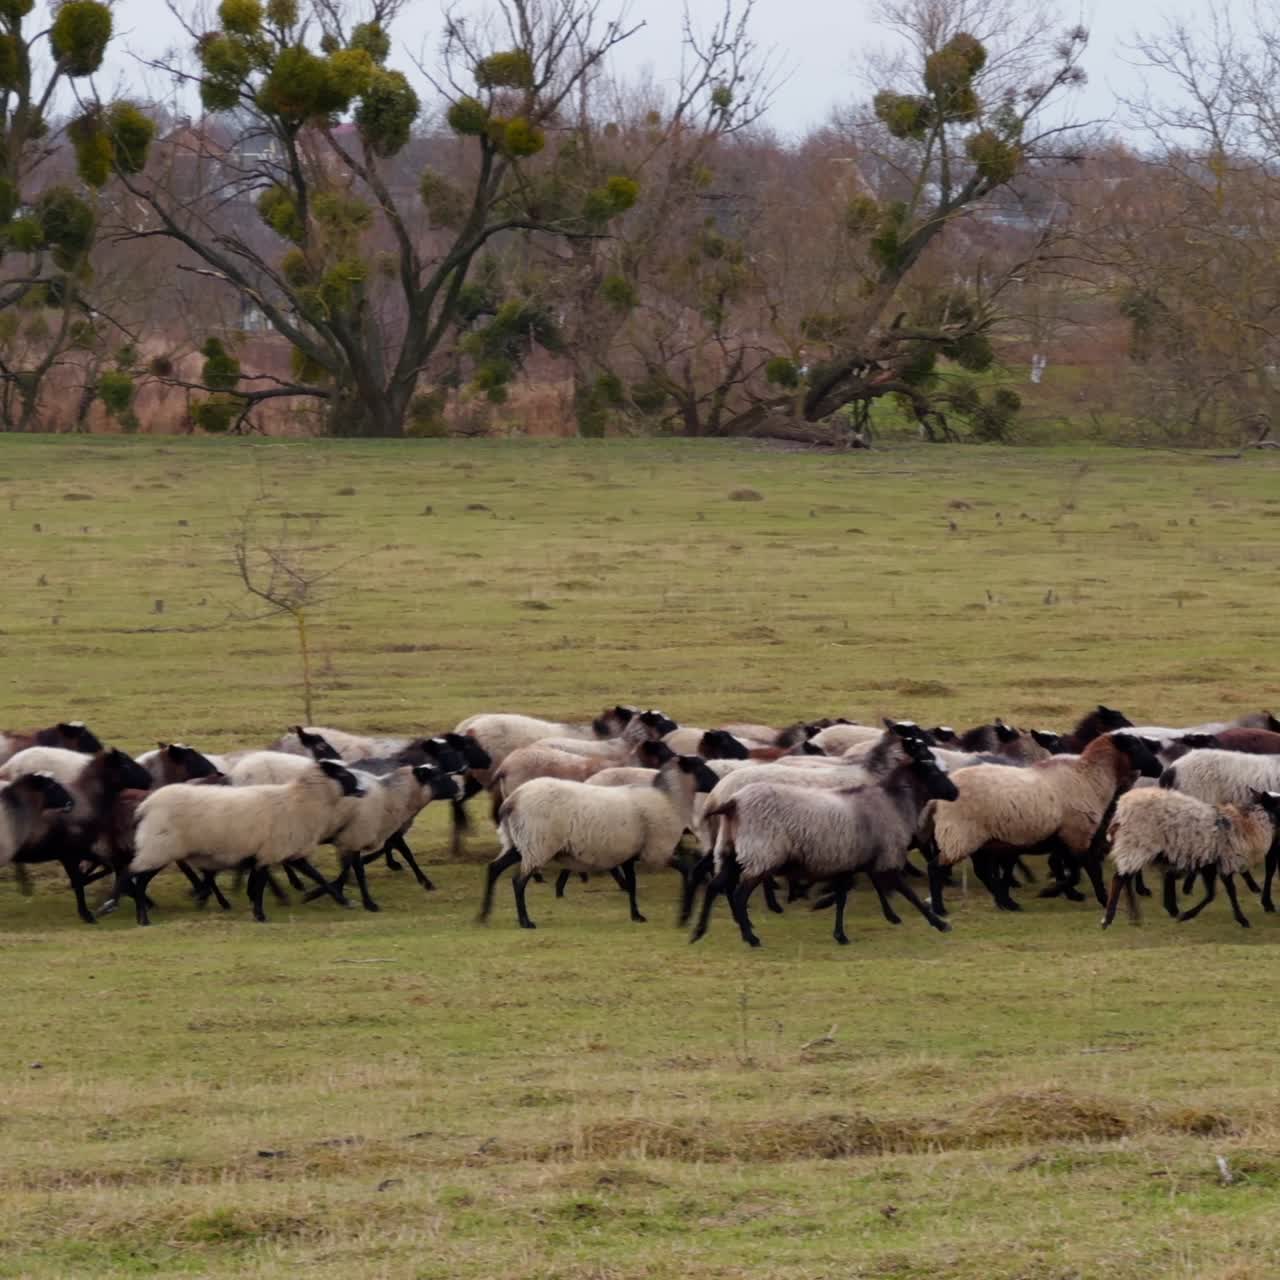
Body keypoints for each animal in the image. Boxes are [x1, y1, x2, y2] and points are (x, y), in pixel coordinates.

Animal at [123, 760, 366, 924]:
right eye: (342, 773)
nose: (363, 790)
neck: (302, 802)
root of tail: (145, 806)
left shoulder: (285, 852)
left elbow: (318, 877)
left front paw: (344, 901)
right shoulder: (270, 851)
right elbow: (260, 885)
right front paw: (260, 915)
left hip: (158, 848)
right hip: (159, 847)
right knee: (138, 880)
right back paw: (143, 918)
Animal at [478, 755, 721, 930]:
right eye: (702, 767)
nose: (718, 783)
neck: (670, 799)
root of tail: (512, 800)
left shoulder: (630, 853)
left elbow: (632, 884)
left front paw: (636, 915)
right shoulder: (656, 851)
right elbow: (687, 869)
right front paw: (684, 914)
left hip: (522, 843)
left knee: (493, 868)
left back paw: (483, 915)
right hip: (538, 844)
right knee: (518, 882)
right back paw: (525, 922)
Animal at [690, 737, 957, 947]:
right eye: (930, 765)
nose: (955, 792)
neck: (890, 798)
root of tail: (728, 799)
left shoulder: (855, 857)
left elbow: (846, 894)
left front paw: (844, 929)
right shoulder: (883, 855)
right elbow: (904, 891)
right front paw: (938, 922)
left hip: (734, 851)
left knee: (716, 885)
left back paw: (700, 930)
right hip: (762, 852)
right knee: (737, 894)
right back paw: (751, 935)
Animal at [923, 732, 1163, 916]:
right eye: (1136, 745)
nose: (1159, 767)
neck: (1090, 778)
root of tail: (938, 798)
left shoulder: (1064, 838)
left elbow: (1070, 870)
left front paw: (1063, 892)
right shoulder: (1077, 834)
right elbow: (1088, 870)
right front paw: (1100, 899)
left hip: (977, 839)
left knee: (981, 872)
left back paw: (1007, 903)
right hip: (959, 835)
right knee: (936, 868)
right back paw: (941, 909)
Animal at [1101, 787, 1280, 929]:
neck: (1250, 822)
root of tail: (1122, 807)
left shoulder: (1209, 864)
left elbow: (1211, 894)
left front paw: (1183, 913)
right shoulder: (1225, 861)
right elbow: (1228, 892)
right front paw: (1243, 920)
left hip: (1134, 847)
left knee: (1126, 879)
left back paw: (1134, 917)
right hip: (1137, 845)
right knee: (1119, 879)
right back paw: (1107, 920)